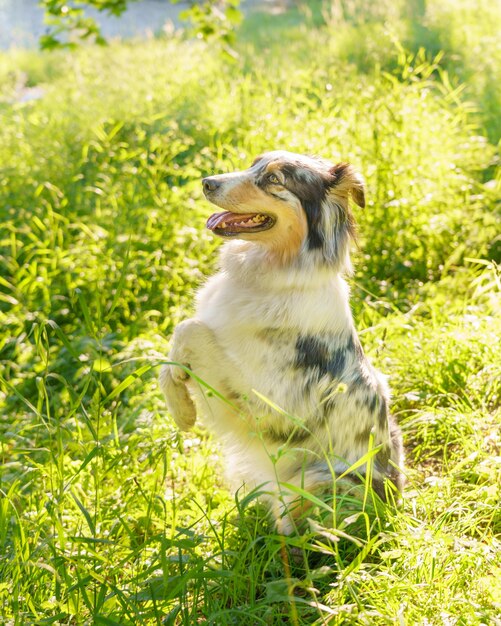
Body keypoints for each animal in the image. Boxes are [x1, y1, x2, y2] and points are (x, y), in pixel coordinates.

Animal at [159, 151, 402, 532]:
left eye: (274, 180)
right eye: (253, 164)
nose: (207, 182)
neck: (273, 277)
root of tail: (392, 508)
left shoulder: (268, 406)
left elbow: (192, 329)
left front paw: (183, 411)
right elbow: (173, 349)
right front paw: (179, 405)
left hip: (320, 482)